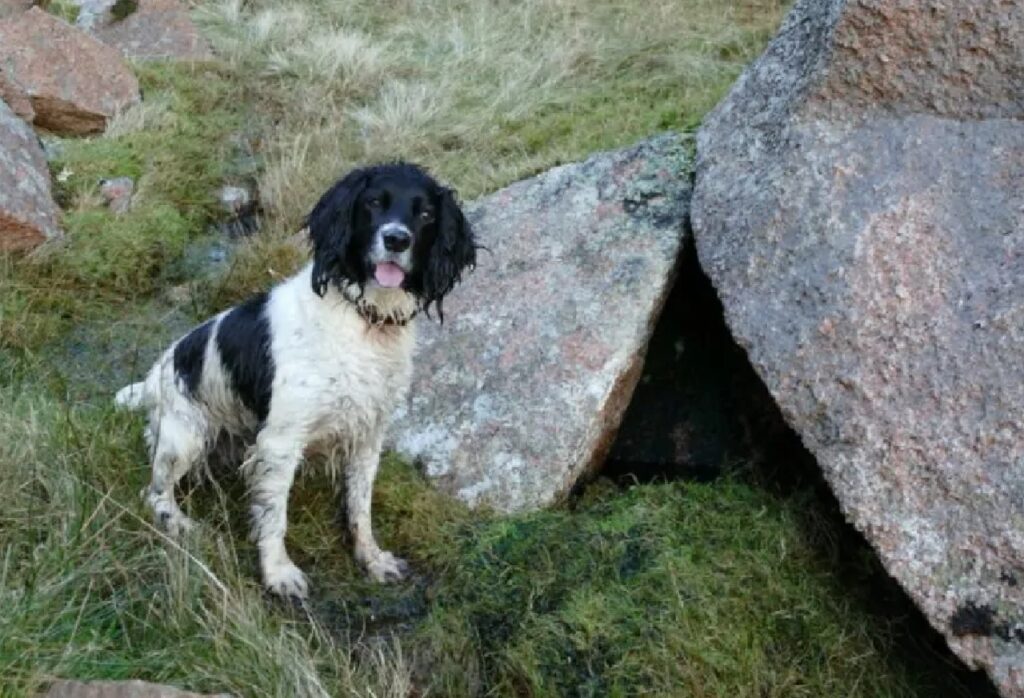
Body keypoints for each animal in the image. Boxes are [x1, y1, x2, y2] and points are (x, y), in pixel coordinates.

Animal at [115, 162, 475, 597]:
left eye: (425, 214)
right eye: (374, 202)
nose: (396, 239)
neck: (364, 323)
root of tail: (154, 376)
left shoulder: (368, 435)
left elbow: (360, 506)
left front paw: (371, 558)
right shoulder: (280, 443)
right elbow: (274, 516)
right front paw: (278, 574)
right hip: (184, 438)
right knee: (154, 493)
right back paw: (181, 524)